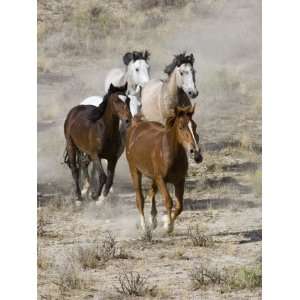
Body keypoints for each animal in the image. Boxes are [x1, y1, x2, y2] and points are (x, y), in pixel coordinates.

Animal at [125, 105, 203, 234]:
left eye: (195, 126)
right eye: (181, 127)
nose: (196, 154)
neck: (170, 153)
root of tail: (136, 125)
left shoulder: (179, 180)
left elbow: (180, 206)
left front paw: (165, 222)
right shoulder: (161, 179)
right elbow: (168, 201)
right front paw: (168, 226)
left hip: (153, 177)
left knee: (151, 192)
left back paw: (153, 221)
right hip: (135, 170)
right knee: (140, 199)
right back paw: (144, 227)